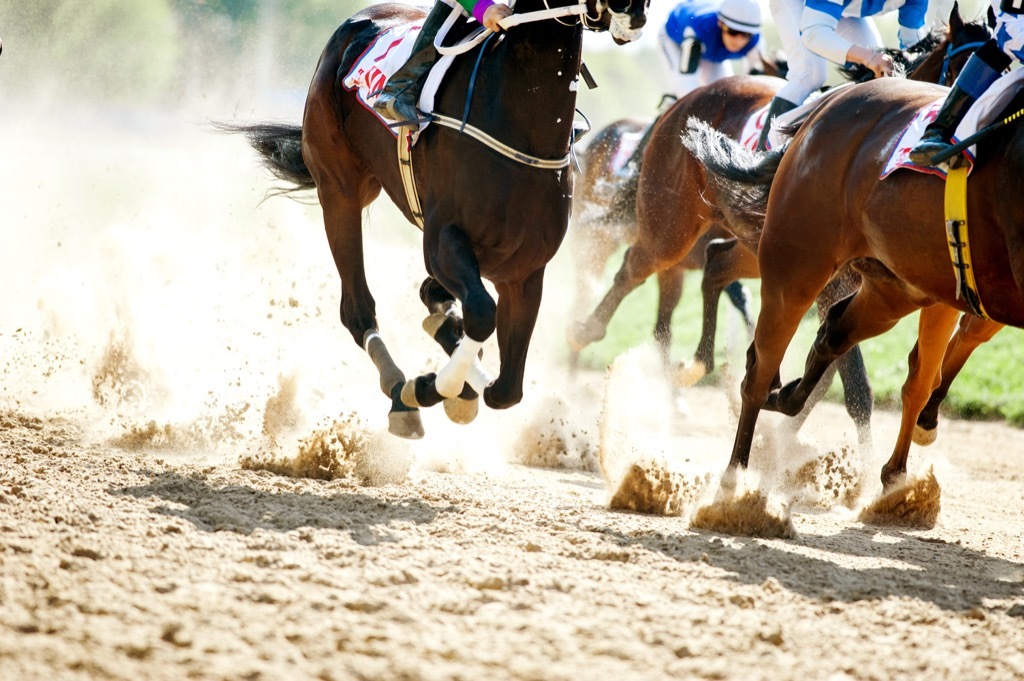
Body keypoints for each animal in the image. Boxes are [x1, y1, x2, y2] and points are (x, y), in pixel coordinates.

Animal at [224, 0, 649, 439]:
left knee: (431, 300)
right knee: (357, 309)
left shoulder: (524, 271)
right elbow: (481, 314)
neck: (521, 127)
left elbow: (506, 389)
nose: (633, 12)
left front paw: (454, 380)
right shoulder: (444, 239)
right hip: (339, 190)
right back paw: (400, 390)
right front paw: (427, 387)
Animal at [566, 6, 988, 448]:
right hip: (670, 228)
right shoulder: (833, 284)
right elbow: (854, 385)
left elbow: (828, 372)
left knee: (713, 266)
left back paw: (697, 365)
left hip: (753, 249)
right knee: (632, 269)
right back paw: (584, 335)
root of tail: (677, 108)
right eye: (965, 73)